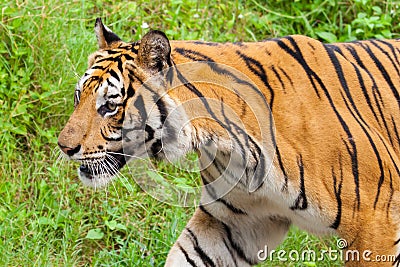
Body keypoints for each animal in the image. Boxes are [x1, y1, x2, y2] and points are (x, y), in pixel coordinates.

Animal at [58, 17, 400, 266]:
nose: (64, 147)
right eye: (79, 96)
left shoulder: (375, 223)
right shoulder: (233, 221)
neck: (227, 145)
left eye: (109, 106)